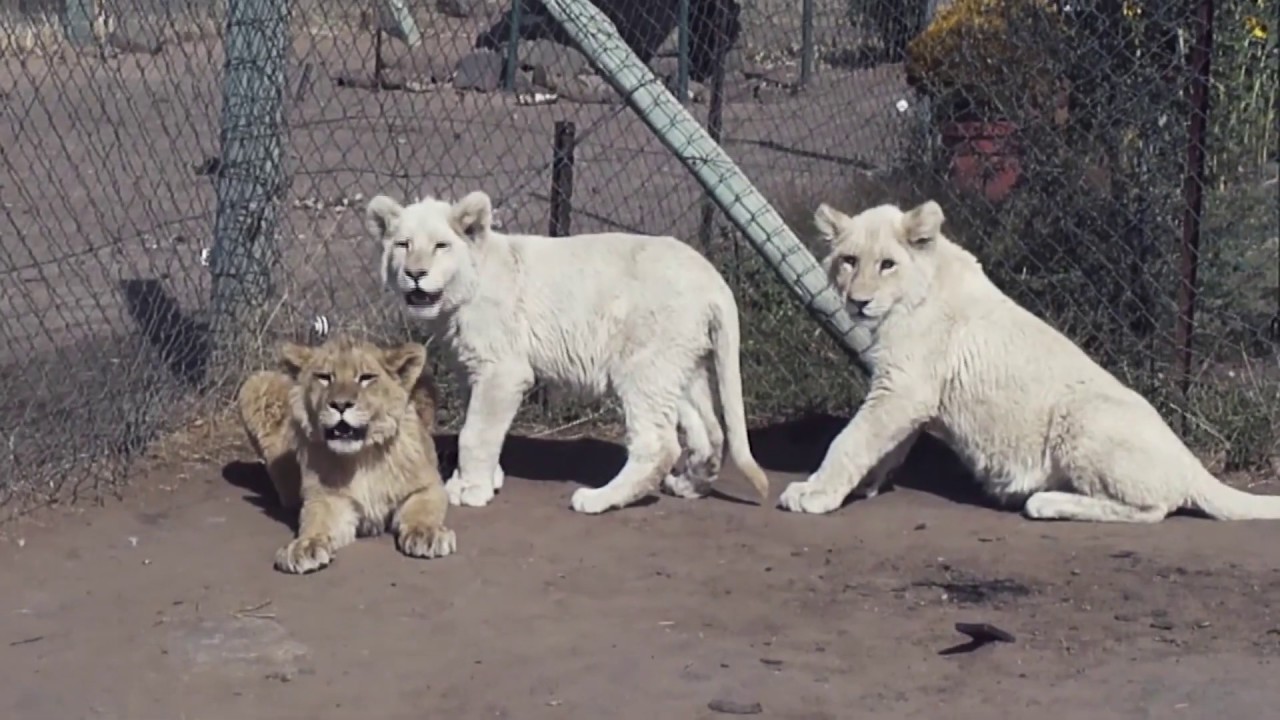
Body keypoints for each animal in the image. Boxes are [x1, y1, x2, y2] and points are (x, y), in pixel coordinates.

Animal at [236, 335, 457, 573]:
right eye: (324, 377)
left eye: (366, 378)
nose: (340, 405)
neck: (362, 457)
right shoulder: (327, 499)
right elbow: (316, 521)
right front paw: (305, 546)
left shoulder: (428, 486)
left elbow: (422, 510)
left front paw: (426, 534)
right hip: (255, 382)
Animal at [363, 190, 771, 515]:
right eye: (403, 245)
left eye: (440, 246)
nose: (415, 274)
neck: (459, 296)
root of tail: (713, 279)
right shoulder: (471, 369)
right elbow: (476, 423)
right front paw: (482, 478)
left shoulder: (502, 371)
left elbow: (474, 433)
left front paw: (472, 490)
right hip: (680, 365)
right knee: (710, 431)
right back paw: (687, 485)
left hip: (643, 365)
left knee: (659, 443)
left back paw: (597, 499)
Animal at [777, 200, 1280, 523]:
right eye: (848, 260)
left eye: (887, 264)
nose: (858, 302)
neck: (914, 291)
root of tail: (1192, 463)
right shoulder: (908, 394)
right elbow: (881, 445)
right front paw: (864, 485)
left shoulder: (904, 387)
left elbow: (850, 439)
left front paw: (814, 492)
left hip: (1081, 418)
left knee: (1154, 508)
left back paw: (1046, 502)